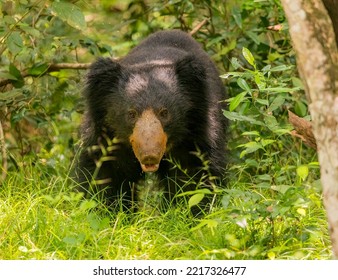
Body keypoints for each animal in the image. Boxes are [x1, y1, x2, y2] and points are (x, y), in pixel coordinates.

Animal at [75, 29, 228, 211]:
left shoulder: (196, 133)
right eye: (131, 114)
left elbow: (193, 175)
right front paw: (106, 209)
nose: (149, 156)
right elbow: (105, 172)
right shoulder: (105, 133)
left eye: (164, 113)